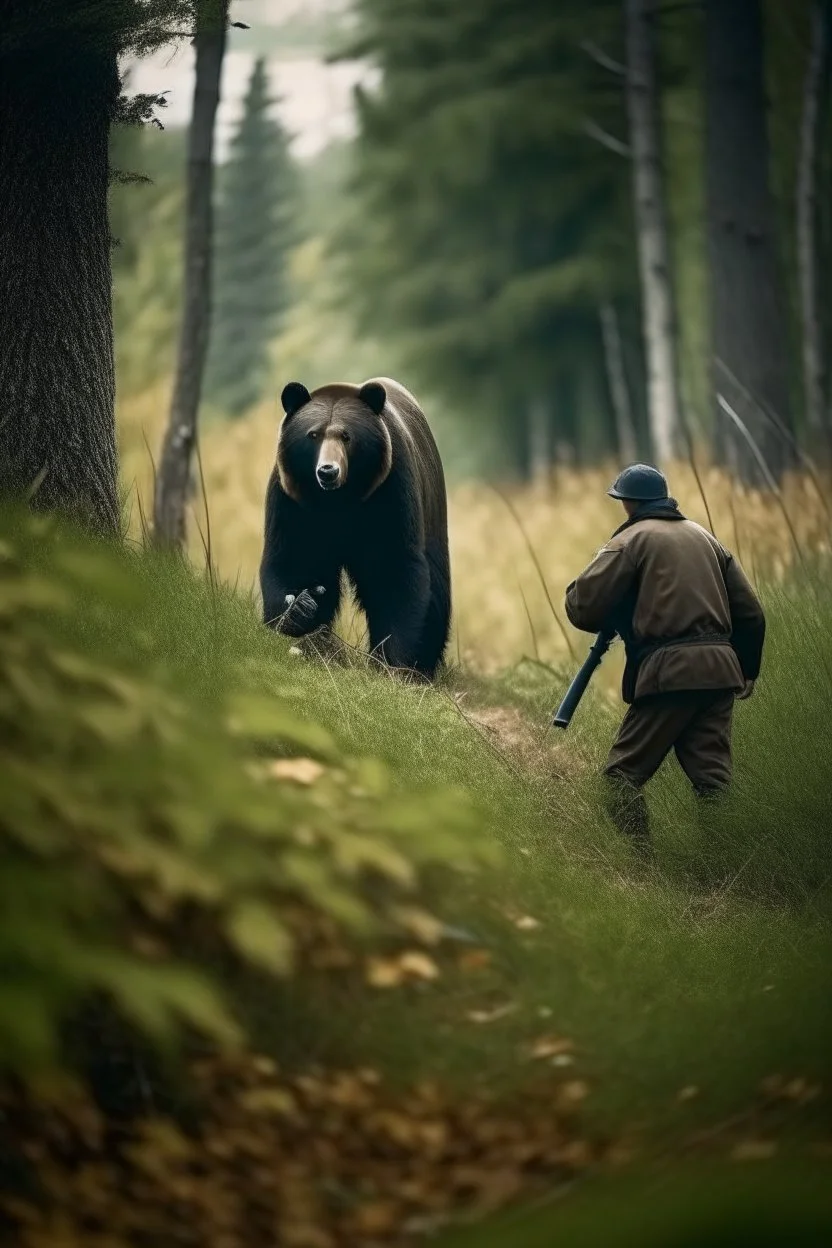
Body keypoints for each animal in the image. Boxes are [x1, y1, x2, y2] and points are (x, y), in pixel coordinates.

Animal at [263, 374, 451, 678]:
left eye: (347, 436)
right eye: (313, 434)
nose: (328, 471)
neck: (339, 502)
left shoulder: (390, 493)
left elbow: (395, 570)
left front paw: (395, 660)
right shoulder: (293, 501)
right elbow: (293, 558)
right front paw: (299, 609)